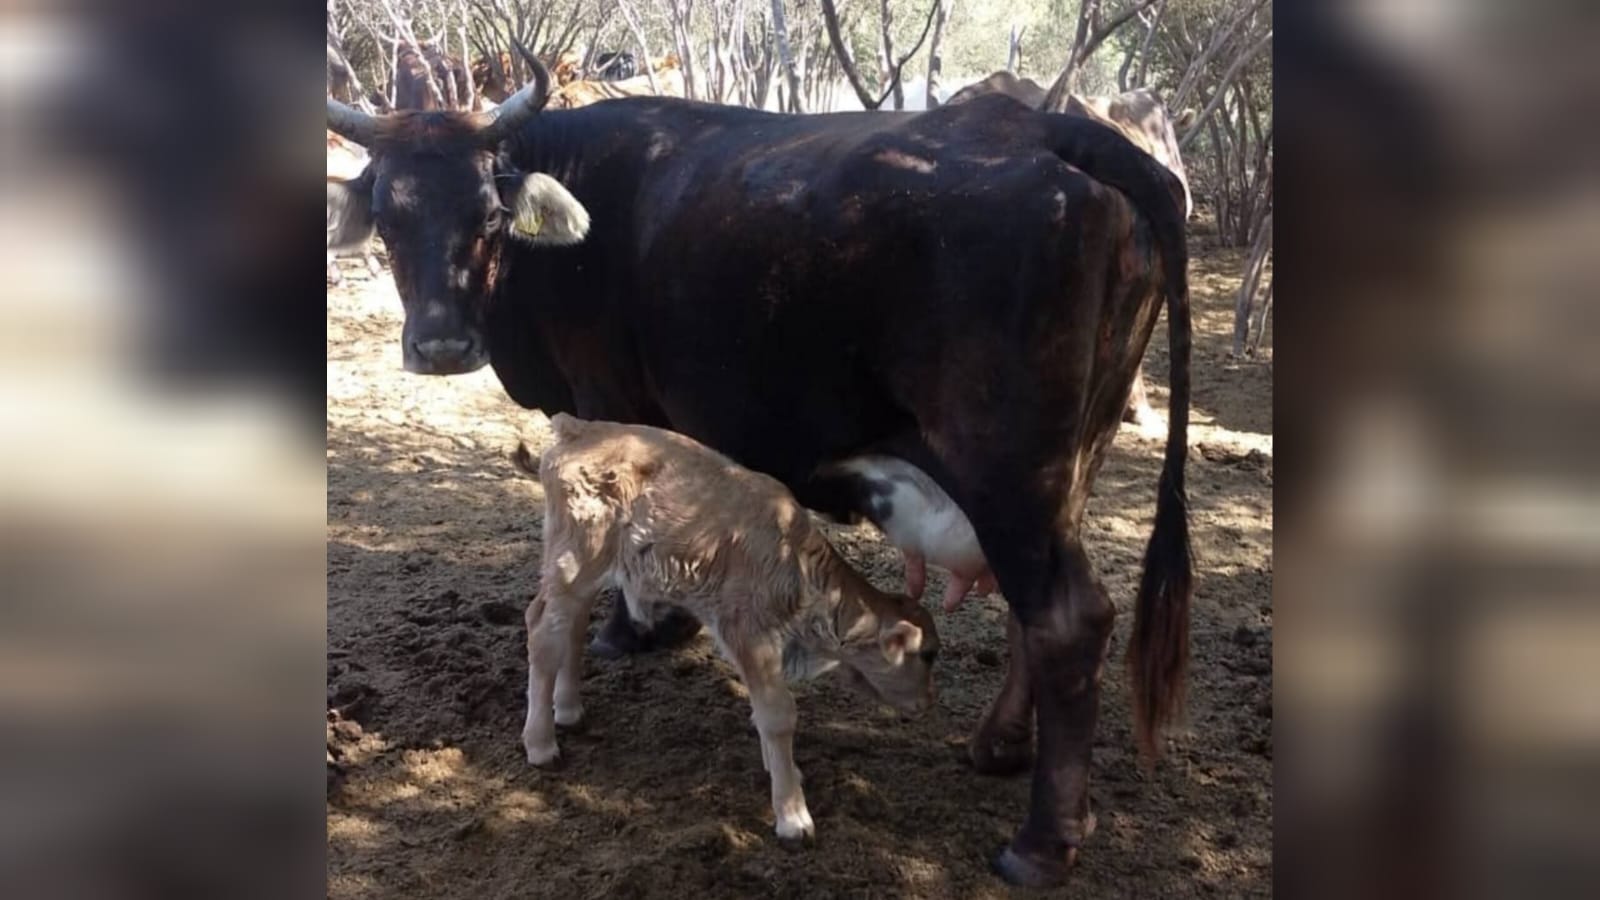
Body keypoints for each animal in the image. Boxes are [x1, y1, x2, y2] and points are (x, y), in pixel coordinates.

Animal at [511, 414, 939, 840]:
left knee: (571, 626)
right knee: (543, 630)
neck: (796, 561)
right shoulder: (748, 630)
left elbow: (763, 708)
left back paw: (569, 710)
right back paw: (542, 744)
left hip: (588, 569)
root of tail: (579, 427)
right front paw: (793, 817)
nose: (925, 704)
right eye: (928, 655)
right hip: (575, 558)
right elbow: (778, 714)